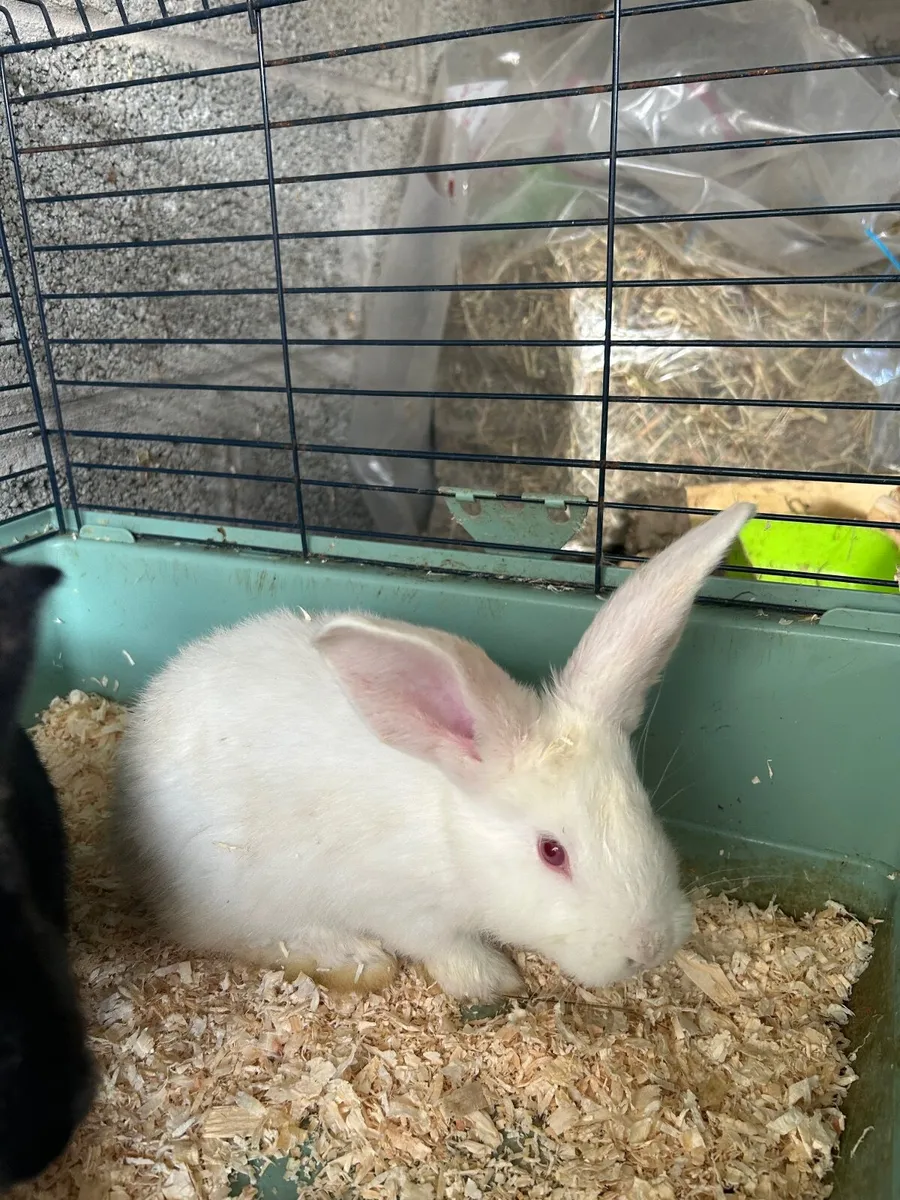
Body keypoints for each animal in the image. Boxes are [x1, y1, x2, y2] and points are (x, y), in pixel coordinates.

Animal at [113, 502, 754, 1002]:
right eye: (552, 852)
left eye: (645, 812)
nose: (649, 947)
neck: (452, 837)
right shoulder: (403, 907)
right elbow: (442, 944)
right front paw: (493, 981)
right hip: (240, 890)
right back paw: (355, 959)